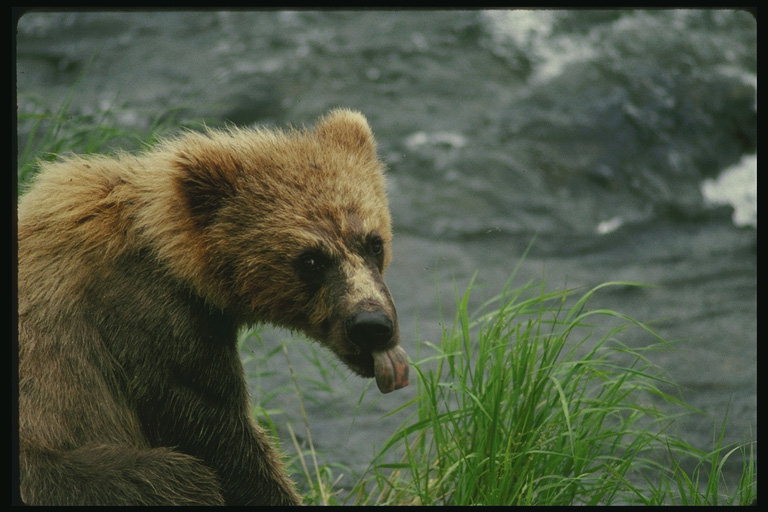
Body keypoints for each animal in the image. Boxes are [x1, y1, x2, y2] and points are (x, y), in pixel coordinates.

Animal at [16, 108, 408, 504]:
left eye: (374, 242)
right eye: (311, 259)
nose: (372, 325)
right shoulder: (149, 322)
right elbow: (219, 433)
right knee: (172, 477)